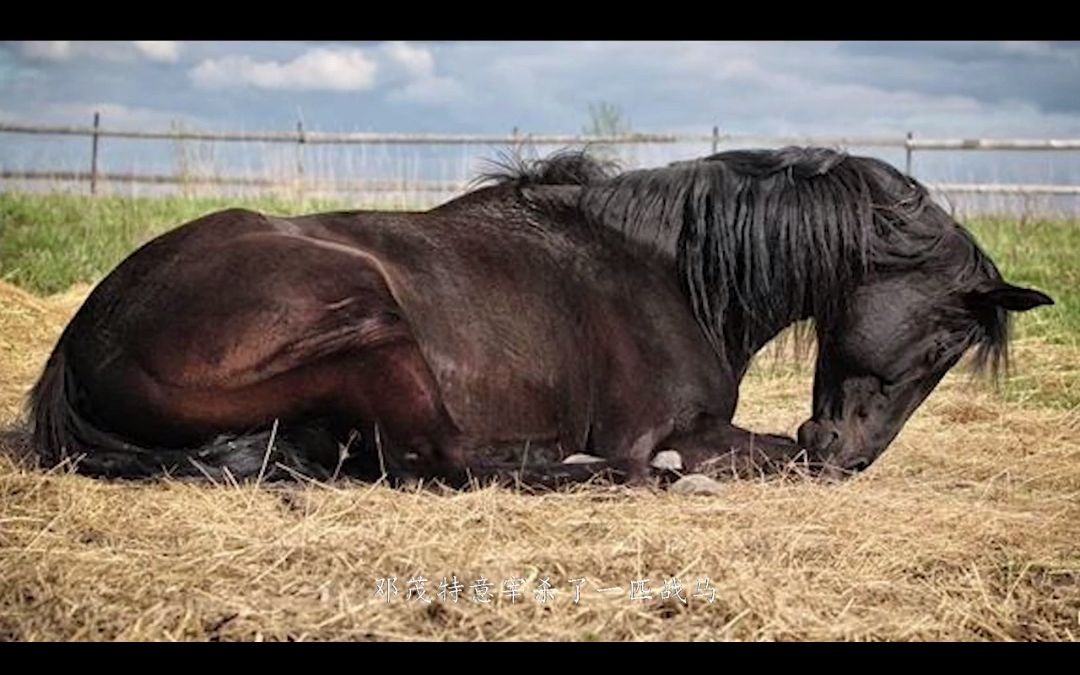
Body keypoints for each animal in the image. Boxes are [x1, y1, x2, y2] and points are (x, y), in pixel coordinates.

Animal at [27, 145, 1054, 483]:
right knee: (442, 462)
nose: (854, 452)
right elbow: (756, 452)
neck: (668, 269)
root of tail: (84, 342)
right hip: (369, 319)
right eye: (945, 342)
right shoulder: (663, 427)